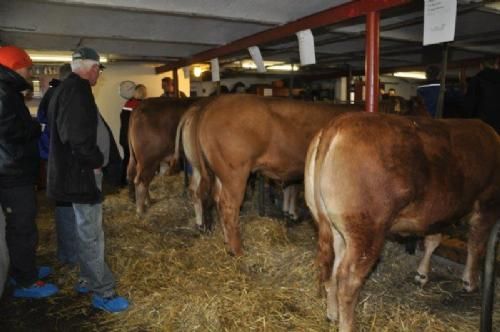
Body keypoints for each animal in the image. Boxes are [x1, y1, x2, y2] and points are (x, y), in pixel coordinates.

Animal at [304, 113, 500, 330]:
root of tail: (337, 124)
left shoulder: (437, 213)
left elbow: (433, 240)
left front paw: (422, 275)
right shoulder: (488, 202)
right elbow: (476, 245)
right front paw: (469, 282)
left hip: (334, 226)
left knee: (333, 267)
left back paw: (332, 314)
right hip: (367, 231)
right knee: (348, 280)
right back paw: (347, 325)